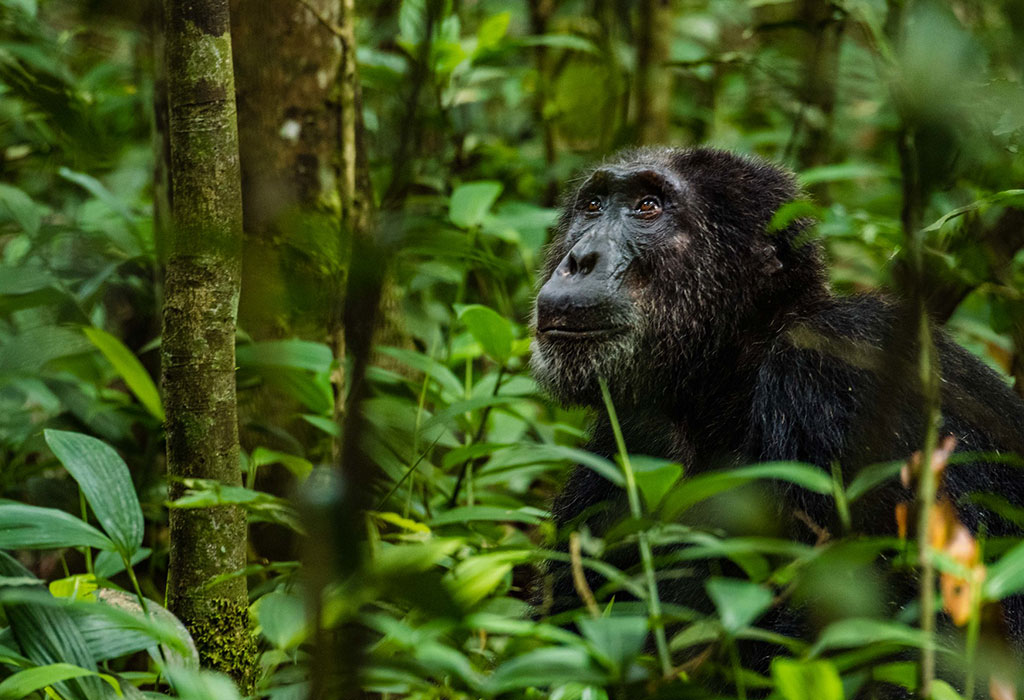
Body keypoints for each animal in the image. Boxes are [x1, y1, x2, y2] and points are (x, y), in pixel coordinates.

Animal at [530, 146, 1024, 692]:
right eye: (593, 205)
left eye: (647, 207)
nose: (580, 260)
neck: (728, 377)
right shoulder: (625, 446)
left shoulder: (843, 372)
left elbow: (933, 644)